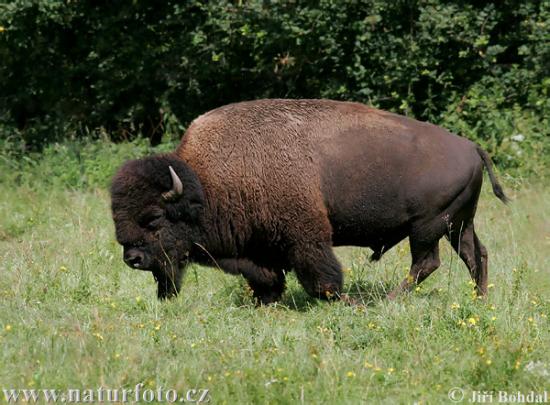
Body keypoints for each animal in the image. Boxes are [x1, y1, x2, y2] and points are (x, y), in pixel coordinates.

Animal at [111, 99, 508, 302]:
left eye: (154, 219)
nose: (132, 259)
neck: (207, 183)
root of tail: (471, 146)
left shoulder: (305, 237)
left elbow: (321, 273)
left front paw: (335, 299)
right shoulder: (260, 248)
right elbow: (267, 277)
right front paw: (266, 300)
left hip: (427, 227)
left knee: (426, 263)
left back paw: (387, 300)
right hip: (458, 224)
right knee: (476, 254)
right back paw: (480, 299)